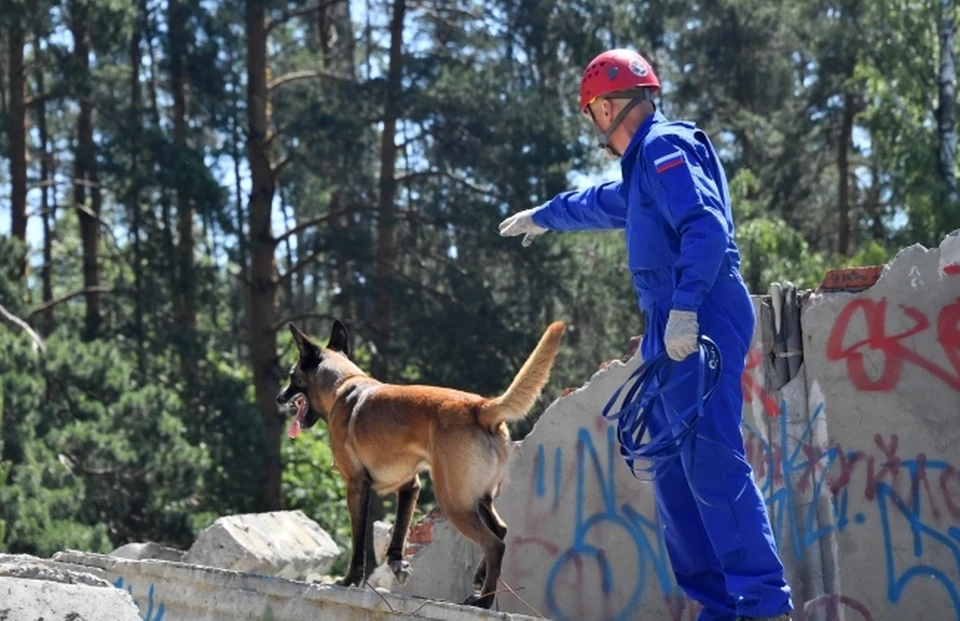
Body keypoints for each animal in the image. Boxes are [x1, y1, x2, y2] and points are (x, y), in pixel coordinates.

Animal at [274, 318, 568, 608]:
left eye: (291, 376)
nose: (279, 397)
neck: (345, 384)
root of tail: (481, 408)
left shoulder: (356, 486)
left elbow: (358, 542)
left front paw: (349, 581)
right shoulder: (410, 486)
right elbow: (399, 531)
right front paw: (397, 565)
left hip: (453, 502)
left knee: (494, 544)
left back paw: (484, 601)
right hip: (478, 498)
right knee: (501, 530)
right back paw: (479, 581)